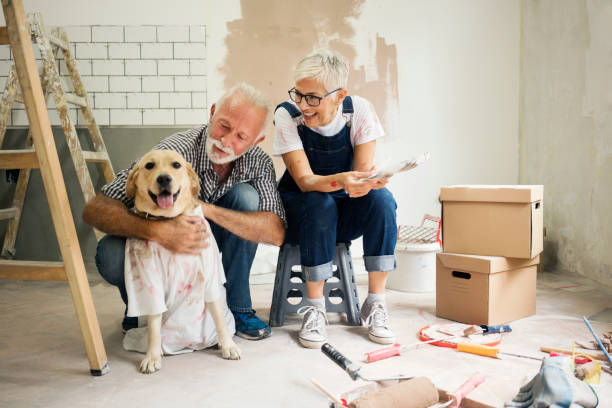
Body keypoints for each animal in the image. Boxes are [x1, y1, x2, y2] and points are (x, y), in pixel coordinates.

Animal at [123, 149, 240, 372]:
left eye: (176, 165)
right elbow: (154, 325)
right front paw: (152, 356)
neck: (171, 219)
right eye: (149, 165)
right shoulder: (149, 278)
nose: (164, 178)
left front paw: (228, 345)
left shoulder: (209, 275)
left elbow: (218, 317)